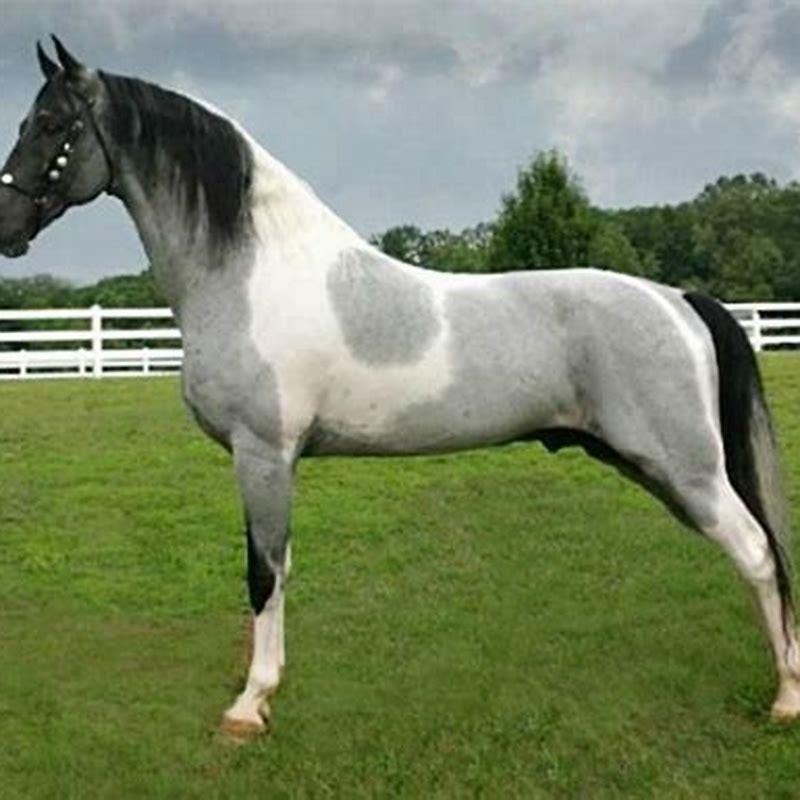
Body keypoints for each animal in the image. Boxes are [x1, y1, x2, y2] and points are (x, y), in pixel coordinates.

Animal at [0, 38, 797, 739]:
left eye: (52, 124)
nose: (6, 227)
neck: (251, 273)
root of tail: (678, 298)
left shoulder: (262, 455)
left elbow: (263, 572)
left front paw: (249, 706)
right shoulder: (274, 462)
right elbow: (281, 568)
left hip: (687, 471)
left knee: (758, 553)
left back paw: (786, 699)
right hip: (662, 472)